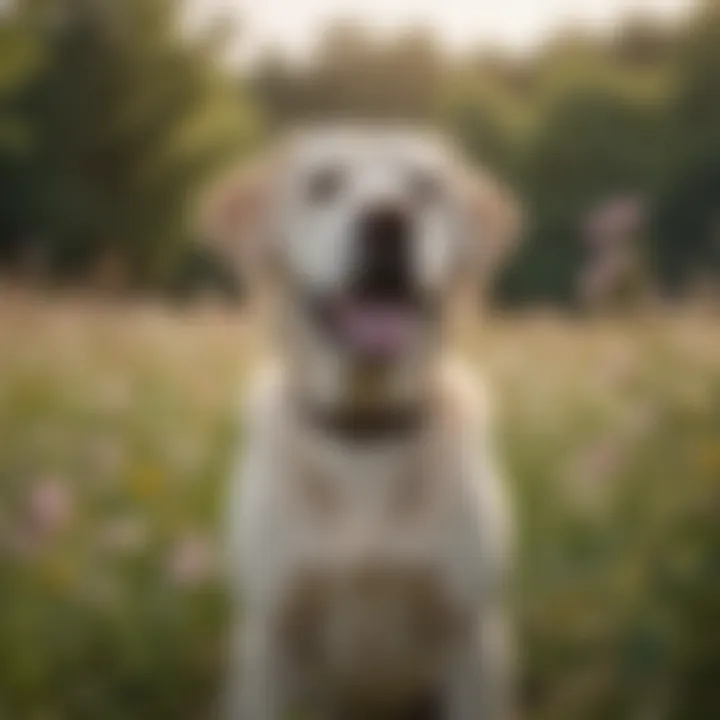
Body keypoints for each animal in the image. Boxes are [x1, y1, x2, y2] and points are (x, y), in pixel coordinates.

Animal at [201, 126, 516, 716]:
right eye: (323, 184)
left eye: (425, 186)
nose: (388, 222)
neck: (365, 435)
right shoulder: (269, 635)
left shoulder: (472, 634)